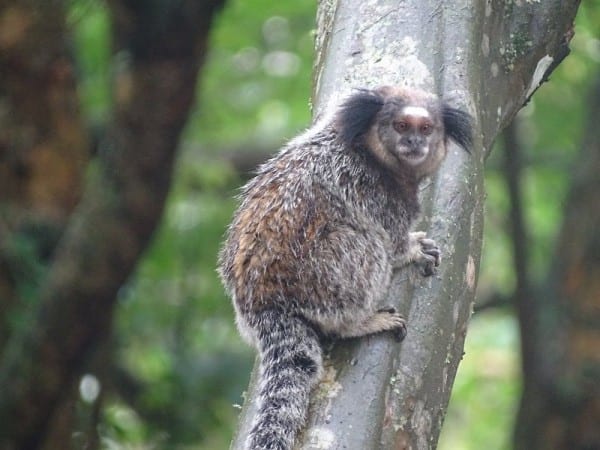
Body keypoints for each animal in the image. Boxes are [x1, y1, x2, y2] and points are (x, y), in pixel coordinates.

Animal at [218, 86, 472, 448]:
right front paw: (412, 249)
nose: (413, 143)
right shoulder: (374, 191)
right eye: (400, 126)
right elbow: (391, 242)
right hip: (321, 277)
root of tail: (260, 299)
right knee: (366, 245)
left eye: (426, 129)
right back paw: (361, 322)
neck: (372, 153)